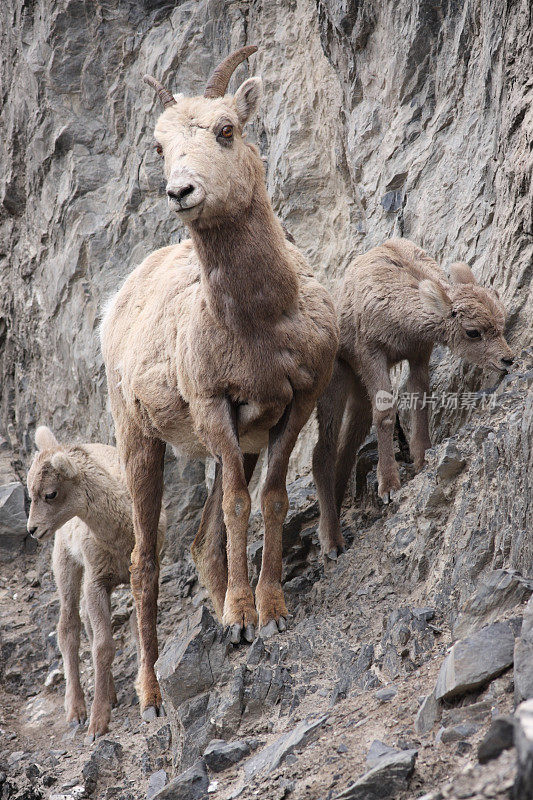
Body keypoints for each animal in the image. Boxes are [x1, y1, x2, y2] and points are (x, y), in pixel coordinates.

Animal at [25, 428, 165, 740]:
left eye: (50, 493)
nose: (33, 529)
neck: (118, 537)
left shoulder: (135, 579)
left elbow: (137, 632)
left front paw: (145, 697)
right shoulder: (95, 581)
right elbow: (103, 647)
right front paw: (97, 725)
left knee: (88, 625)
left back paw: (110, 694)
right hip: (66, 566)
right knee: (69, 628)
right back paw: (77, 712)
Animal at [100, 45, 336, 720]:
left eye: (225, 130)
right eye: (159, 145)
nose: (181, 190)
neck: (262, 320)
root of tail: (116, 304)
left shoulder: (294, 406)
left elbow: (271, 498)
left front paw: (271, 612)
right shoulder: (214, 408)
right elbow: (237, 504)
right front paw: (238, 620)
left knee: (203, 539)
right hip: (138, 441)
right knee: (144, 562)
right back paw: (151, 698)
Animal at [312, 238, 512, 556]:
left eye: (502, 323)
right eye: (473, 332)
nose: (508, 359)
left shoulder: (418, 353)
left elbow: (419, 401)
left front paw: (422, 460)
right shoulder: (372, 353)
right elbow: (385, 413)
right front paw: (388, 488)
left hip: (359, 394)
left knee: (345, 450)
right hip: (338, 380)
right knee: (323, 451)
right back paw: (331, 542)